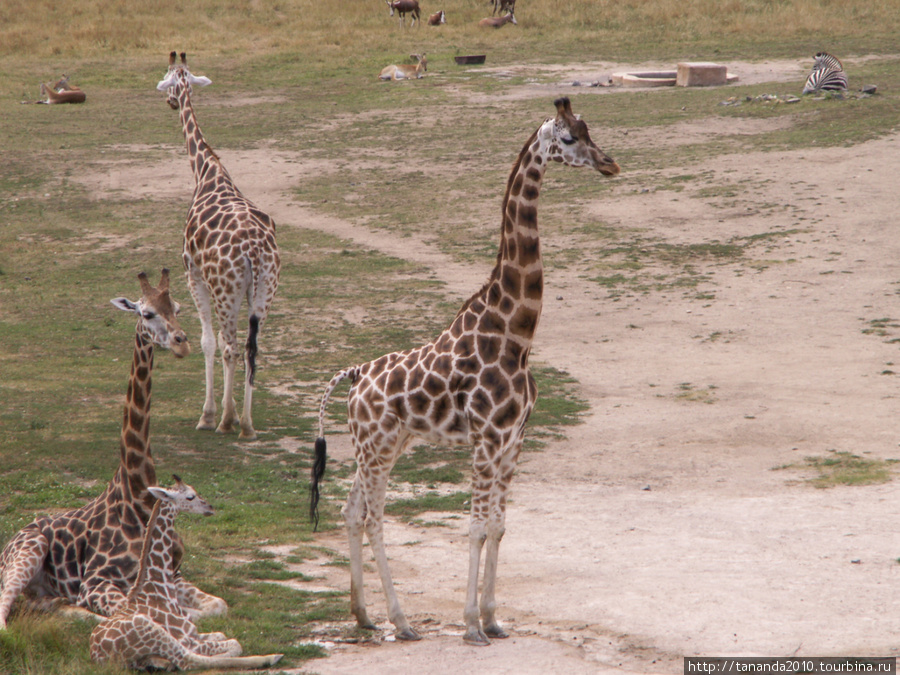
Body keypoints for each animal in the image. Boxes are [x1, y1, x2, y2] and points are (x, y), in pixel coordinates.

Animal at [0, 272, 225, 632]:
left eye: (177, 307)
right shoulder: (96, 582)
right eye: (146, 313)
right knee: (9, 605)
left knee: (44, 603)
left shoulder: (174, 574)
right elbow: (142, 611)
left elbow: (215, 606)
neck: (139, 497)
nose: (182, 343)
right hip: (29, 552)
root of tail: (12, 537)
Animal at [91, 478, 282, 672]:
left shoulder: (194, 632)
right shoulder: (186, 638)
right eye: (191, 496)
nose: (210, 508)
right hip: (150, 630)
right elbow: (234, 644)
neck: (160, 588)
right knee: (188, 660)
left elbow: (221, 635)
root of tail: (99, 655)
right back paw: (271, 657)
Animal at [156, 54, 280, 444]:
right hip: (264, 291)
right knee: (252, 349)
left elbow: (207, 342)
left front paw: (208, 415)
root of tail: (254, 251)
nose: (169, 101)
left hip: (227, 291)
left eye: (166, 77)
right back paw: (247, 425)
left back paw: (226, 420)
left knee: (230, 347)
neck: (207, 172)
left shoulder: (192, 272)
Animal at [312, 95, 620, 644]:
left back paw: (364, 614)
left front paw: (494, 617)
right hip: (375, 447)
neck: (516, 335)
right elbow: (475, 526)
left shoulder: (514, 439)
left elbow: (498, 525)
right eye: (568, 139)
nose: (610, 164)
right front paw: (472, 624)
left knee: (351, 510)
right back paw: (402, 621)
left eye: (590, 130)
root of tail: (354, 375)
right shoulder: (487, 437)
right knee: (372, 517)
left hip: (386, 444)